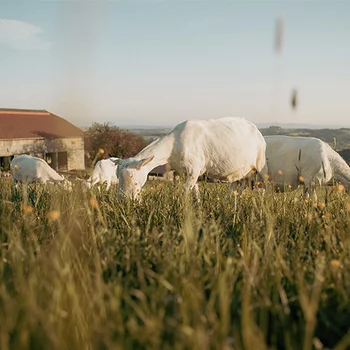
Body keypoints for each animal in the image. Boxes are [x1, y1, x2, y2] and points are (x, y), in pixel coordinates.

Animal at [115, 117, 266, 200]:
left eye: (131, 177)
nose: (124, 200)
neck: (173, 144)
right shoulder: (189, 172)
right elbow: (195, 191)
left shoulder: (194, 168)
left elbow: (185, 191)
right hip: (241, 170)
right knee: (239, 184)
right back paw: (231, 201)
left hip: (261, 165)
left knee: (263, 186)